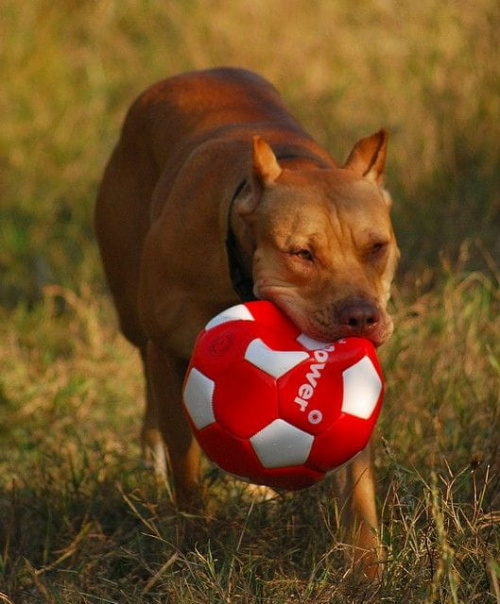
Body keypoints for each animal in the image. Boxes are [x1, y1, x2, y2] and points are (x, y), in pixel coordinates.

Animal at [94, 67, 398, 580]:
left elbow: (356, 483)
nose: (360, 315)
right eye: (302, 254)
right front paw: (193, 546)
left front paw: (365, 569)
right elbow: (186, 468)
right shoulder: (168, 353)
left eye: (376, 247)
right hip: (133, 314)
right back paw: (152, 457)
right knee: (148, 384)